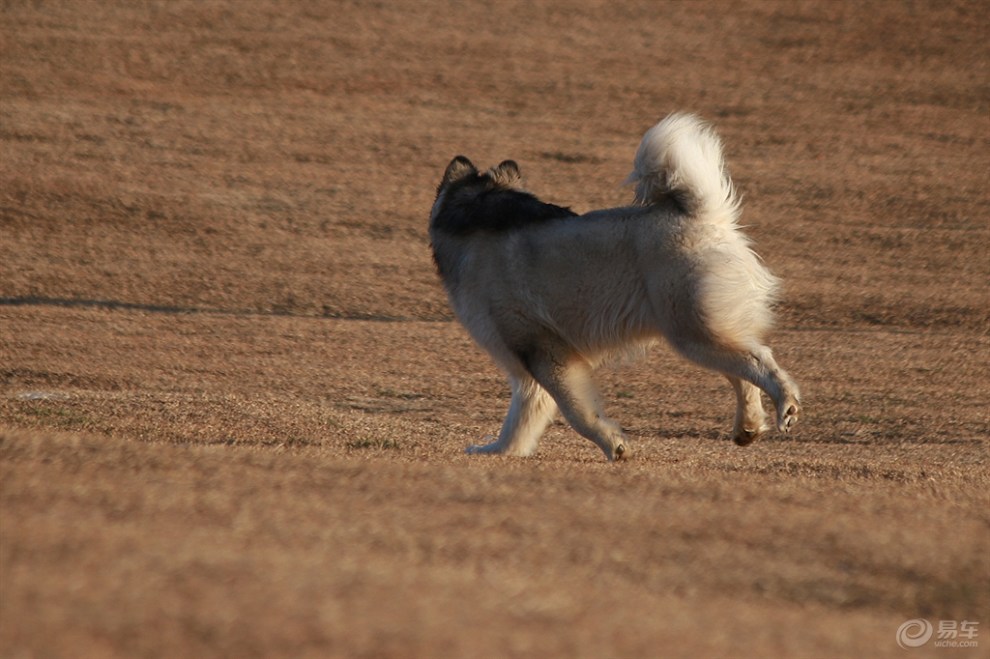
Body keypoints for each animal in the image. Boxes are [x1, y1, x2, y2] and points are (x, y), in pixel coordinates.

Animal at [430, 113, 804, 462]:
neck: (477, 216)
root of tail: (701, 216)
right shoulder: (530, 369)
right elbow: (521, 420)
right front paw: (500, 452)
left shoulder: (544, 352)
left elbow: (578, 413)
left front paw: (614, 445)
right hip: (704, 329)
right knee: (743, 373)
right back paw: (748, 427)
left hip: (693, 332)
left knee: (759, 360)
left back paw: (785, 404)